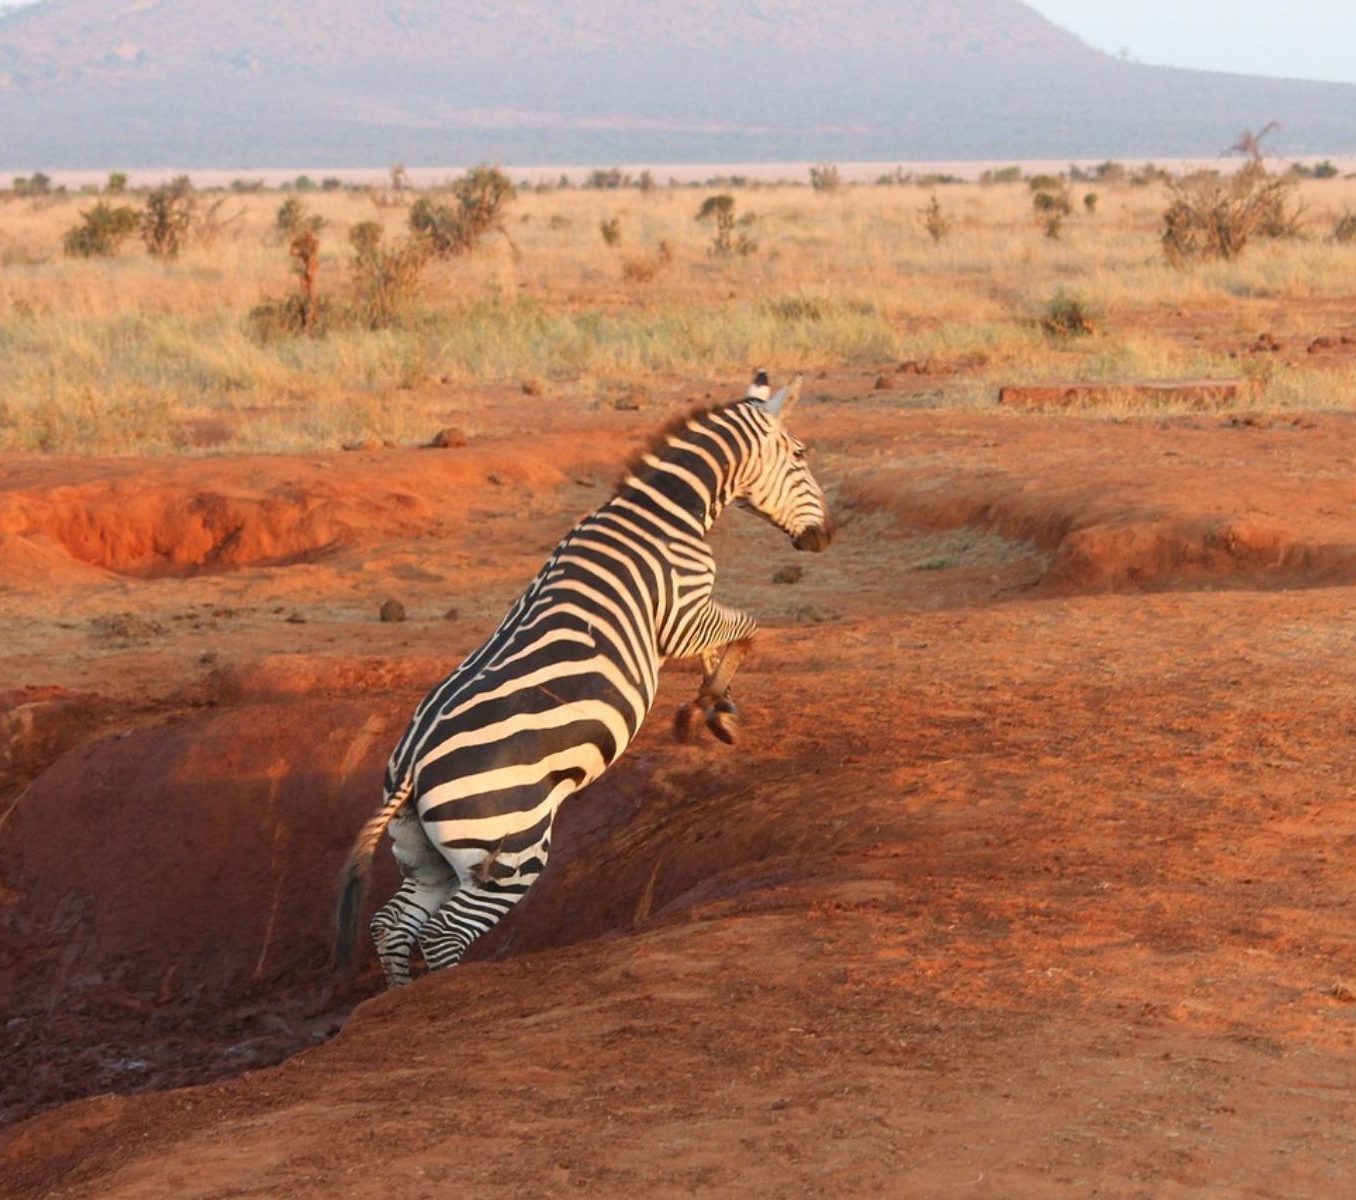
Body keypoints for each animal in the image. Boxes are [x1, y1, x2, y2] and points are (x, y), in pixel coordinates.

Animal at [335, 372, 834, 987]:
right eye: (800, 454)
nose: (825, 537)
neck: (665, 510)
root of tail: (411, 766)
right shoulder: (681, 612)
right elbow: (746, 631)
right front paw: (710, 708)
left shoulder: (681, 622)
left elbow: (720, 646)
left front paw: (716, 710)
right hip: (509, 850)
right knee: (443, 934)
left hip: (425, 856)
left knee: (392, 926)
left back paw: (396, 998)